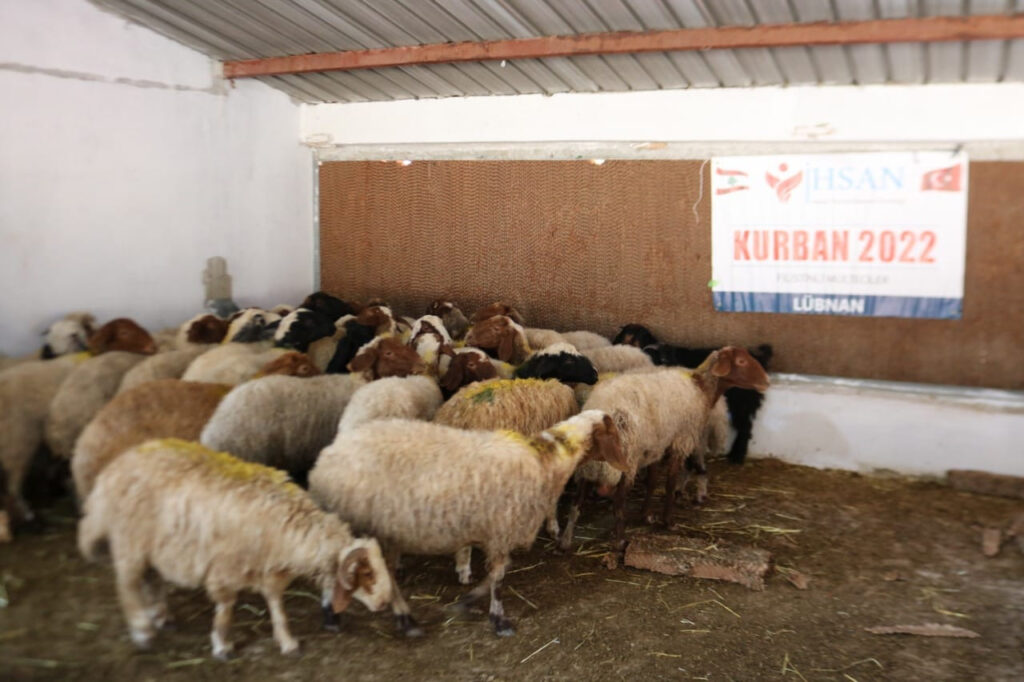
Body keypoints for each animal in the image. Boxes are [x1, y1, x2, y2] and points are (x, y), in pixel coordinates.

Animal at [78, 438, 392, 658]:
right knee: (127, 584)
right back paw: (142, 630)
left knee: (152, 579)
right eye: (367, 574)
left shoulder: (271, 572)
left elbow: (277, 607)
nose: (384, 603)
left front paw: (288, 642)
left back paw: (162, 617)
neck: (287, 526)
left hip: (151, 548)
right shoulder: (224, 572)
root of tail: (116, 466)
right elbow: (226, 611)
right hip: (129, 541)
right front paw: (223, 646)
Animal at [309, 410, 627, 637]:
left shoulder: (491, 532)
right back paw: (403, 619)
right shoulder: (502, 530)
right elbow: (498, 578)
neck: (545, 462)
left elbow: (489, 570)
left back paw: (337, 615)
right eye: (613, 433)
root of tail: (323, 463)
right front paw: (498, 619)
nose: (624, 466)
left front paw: (467, 597)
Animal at [560, 348, 770, 552]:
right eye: (741, 361)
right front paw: (668, 521)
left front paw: (646, 515)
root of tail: (602, 406)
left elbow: (652, 482)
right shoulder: (680, 440)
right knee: (618, 503)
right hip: (627, 457)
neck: (700, 388)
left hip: (590, 463)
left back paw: (566, 541)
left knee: (576, 502)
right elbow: (670, 483)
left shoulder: (655, 446)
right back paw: (619, 542)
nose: (766, 382)